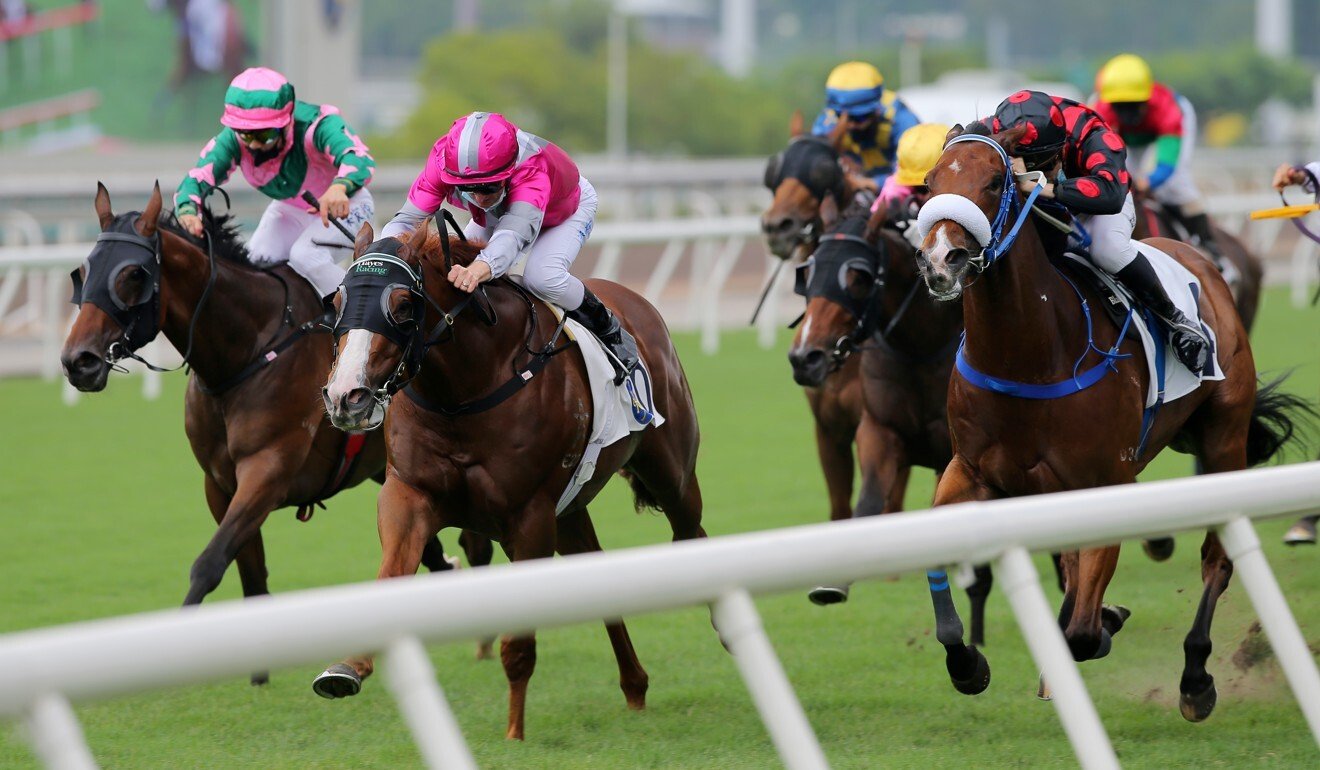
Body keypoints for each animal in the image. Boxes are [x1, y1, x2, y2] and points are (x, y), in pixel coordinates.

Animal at [60, 183, 485, 670]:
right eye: (81, 271)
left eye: (132, 274)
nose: (78, 360)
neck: (244, 354)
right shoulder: (219, 483)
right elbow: (249, 571)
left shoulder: (267, 471)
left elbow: (209, 563)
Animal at [314, 223, 707, 739]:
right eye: (337, 303)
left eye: (401, 304)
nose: (347, 397)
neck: (464, 391)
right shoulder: (410, 494)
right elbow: (392, 574)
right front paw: (346, 667)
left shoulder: (530, 515)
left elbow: (518, 645)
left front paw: (515, 734)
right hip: (570, 509)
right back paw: (635, 686)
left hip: (671, 474)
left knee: (691, 530)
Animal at [913, 126, 1304, 723]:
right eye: (931, 182)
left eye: (995, 180)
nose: (941, 260)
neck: (1029, 353)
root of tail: (1203, 262)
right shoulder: (972, 470)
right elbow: (939, 552)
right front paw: (966, 662)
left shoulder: (1103, 482)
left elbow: (1079, 631)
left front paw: (1103, 626)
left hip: (1223, 439)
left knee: (1217, 560)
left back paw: (1195, 678)